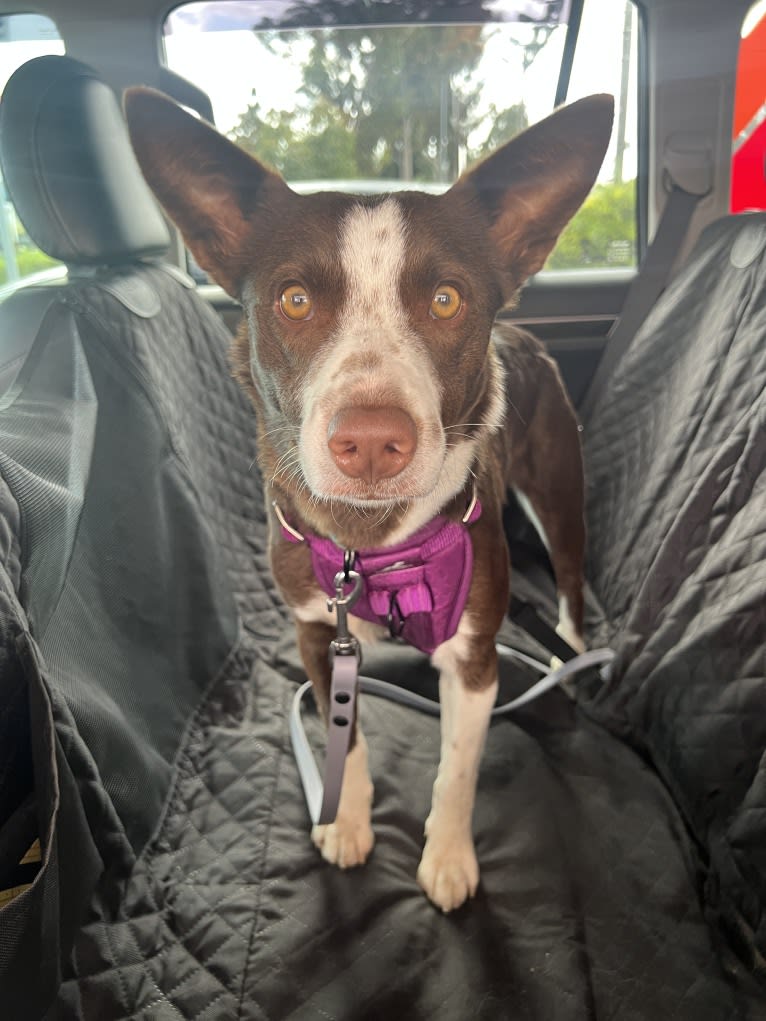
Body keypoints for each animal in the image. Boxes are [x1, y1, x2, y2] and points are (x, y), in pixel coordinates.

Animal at [126, 91, 616, 914]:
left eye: (446, 300)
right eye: (294, 300)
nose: (371, 441)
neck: (374, 543)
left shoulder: (475, 658)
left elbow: (457, 769)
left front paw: (447, 859)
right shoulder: (318, 636)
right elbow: (344, 736)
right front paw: (346, 820)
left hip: (560, 493)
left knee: (573, 585)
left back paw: (571, 657)